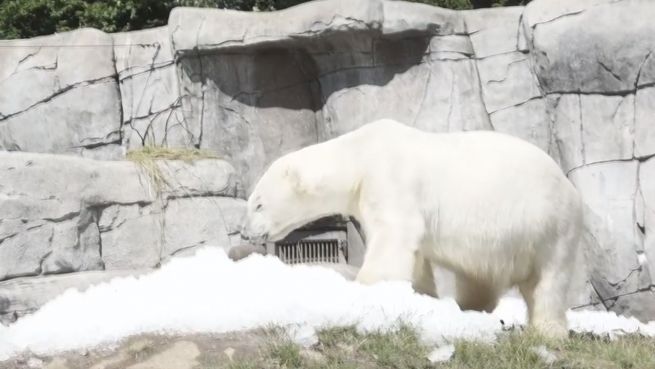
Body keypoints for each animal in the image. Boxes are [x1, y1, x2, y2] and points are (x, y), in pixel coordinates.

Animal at [243, 118, 580, 336]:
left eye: (257, 204)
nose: (247, 232)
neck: (360, 154)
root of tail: (568, 186)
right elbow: (415, 256)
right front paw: (420, 295)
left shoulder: (390, 180)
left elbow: (393, 236)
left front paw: (365, 288)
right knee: (478, 275)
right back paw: (467, 306)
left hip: (548, 225)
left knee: (549, 281)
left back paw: (548, 329)